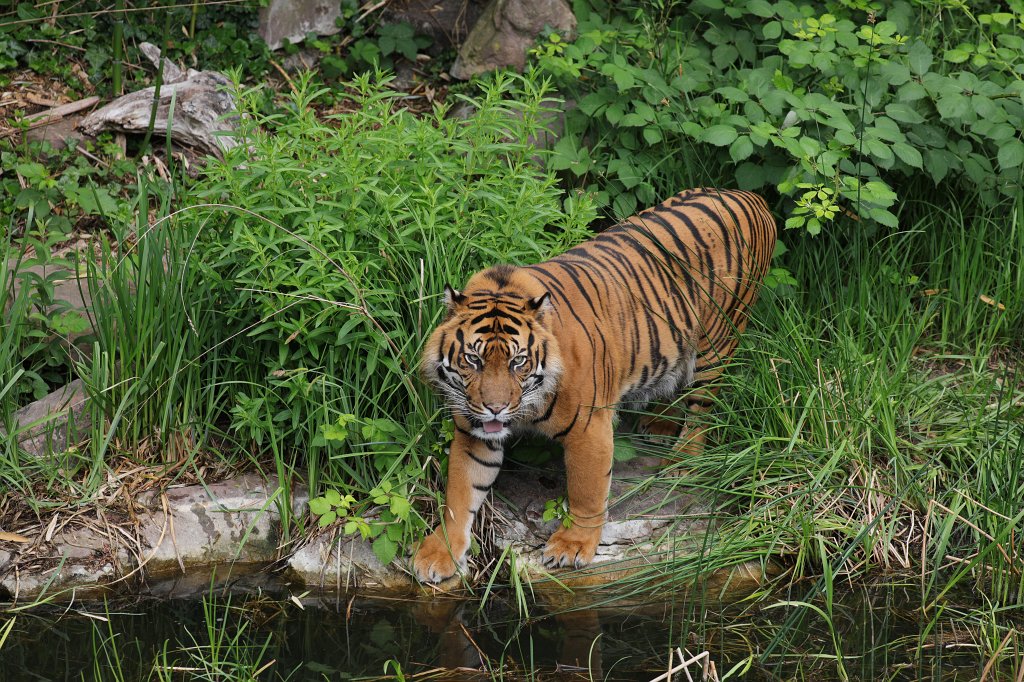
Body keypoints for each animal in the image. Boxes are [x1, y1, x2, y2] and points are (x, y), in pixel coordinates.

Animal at [413, 188, 777, 583]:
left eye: (518, 362)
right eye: (473, 360)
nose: (495, 408)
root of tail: (751, 197)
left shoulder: (589, 427)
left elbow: (587, 491)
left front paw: (572, 545)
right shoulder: (474, 432)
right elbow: (460, 494)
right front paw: (440, 552)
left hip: (718, 341)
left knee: (701, 408)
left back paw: (684, 460)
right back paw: (659, 424)